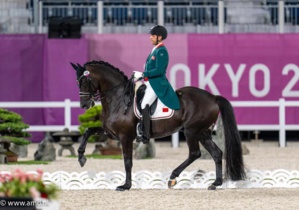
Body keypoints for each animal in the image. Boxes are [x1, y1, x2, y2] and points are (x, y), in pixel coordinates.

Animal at [71, 60, 247, 190]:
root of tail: (213, 97)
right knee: (217, 153)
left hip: (191, 131)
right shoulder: (111, 133)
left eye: (85, 80)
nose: (84, 104)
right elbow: (88, 131)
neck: (119, 99)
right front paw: (81, 157)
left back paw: (173, 178)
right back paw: (215, 183)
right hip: (203, 133)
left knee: (195, 153)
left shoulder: (125, 136)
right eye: (77, 82)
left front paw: (125, 186)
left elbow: (127, 161)